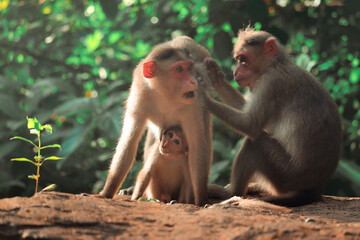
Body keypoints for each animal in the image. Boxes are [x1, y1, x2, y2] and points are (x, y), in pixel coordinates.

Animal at [100, 36, 214, 205]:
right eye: (179, 69)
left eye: (189, 68)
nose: (193, 81)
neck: (165, 95)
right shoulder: (140, 94)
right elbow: (129, 141)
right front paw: (106, 193)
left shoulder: (193, 105)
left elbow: (197, 146)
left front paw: (200, 200)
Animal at [200, 29, 344, 207]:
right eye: (238, 60)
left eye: (243, 59)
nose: (236, 71)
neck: (274, 65)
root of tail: (315, 189)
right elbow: (244, 110)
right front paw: (216, 77)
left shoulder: (271, 83)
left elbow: (251, 125)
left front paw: (203, 99)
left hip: (287, 176)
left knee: (255, 144)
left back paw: (231, 192)